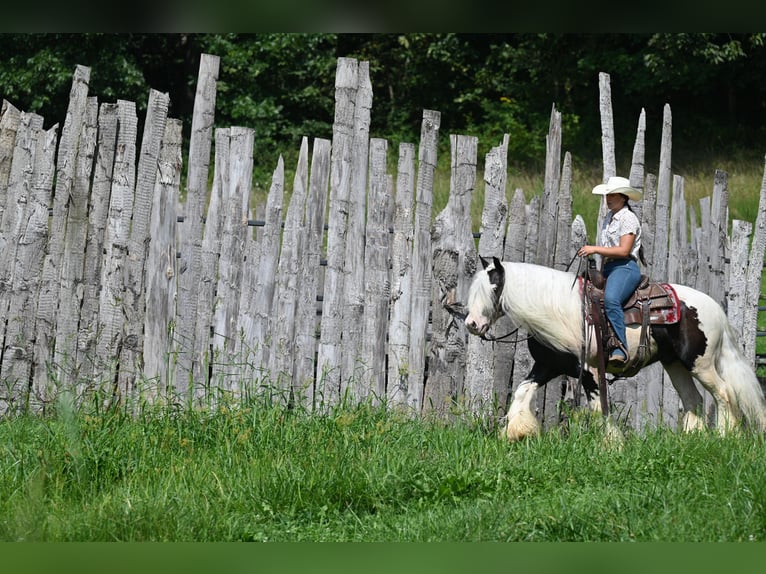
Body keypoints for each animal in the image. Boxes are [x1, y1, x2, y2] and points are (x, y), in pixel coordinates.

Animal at [462, 256, 766, 440]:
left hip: (699, 363)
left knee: (724, 393)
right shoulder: (548, 365)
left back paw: (726, 436)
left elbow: (599, 408)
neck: (557, 311)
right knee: (694, 401)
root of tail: (714, 308)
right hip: (675, 365)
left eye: (494, 287)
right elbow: (522, 391)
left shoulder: (589, 369)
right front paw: (516, 433)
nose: (471, 324)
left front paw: (610, 444)